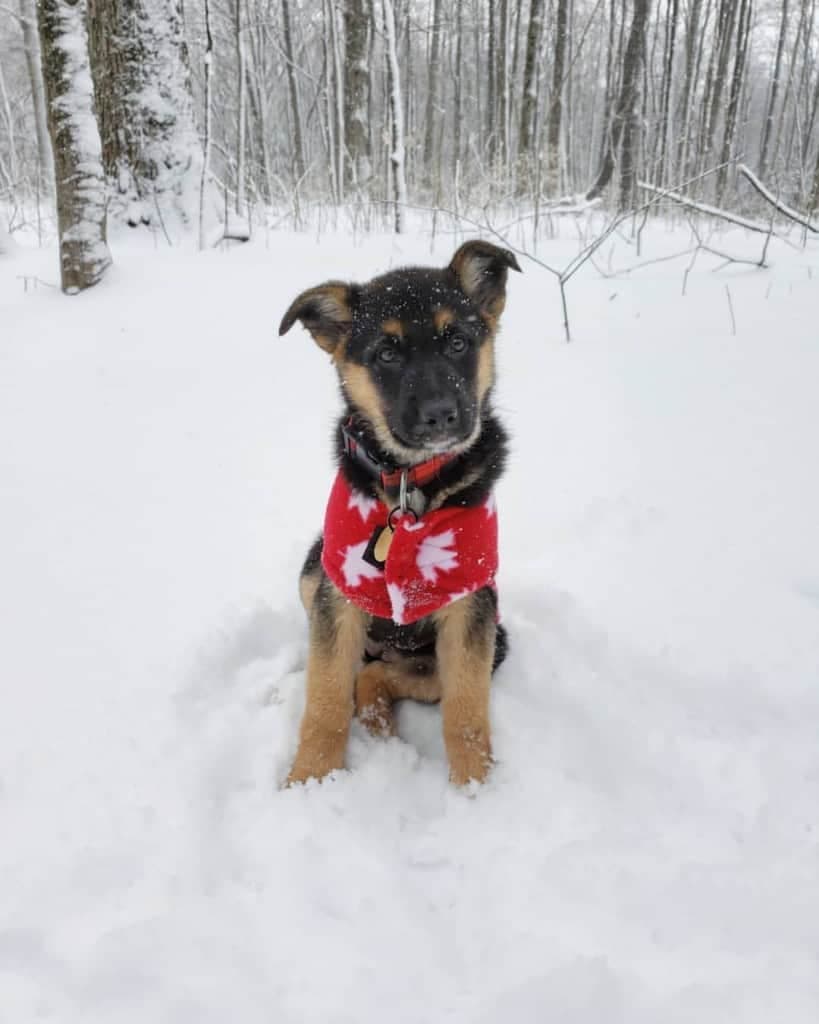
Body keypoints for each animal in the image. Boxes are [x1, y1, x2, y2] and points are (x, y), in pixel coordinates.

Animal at [278, 239, 522, 782]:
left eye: (458, 343)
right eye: (386, 354)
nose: (440, 415)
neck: (411, 485)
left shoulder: (469, 603)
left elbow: (466, 711)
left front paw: (475, 789)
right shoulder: (337, 594)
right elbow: (325, 698)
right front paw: (310, 780)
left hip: (494, 639)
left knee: (377, 675)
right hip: (313, 568)